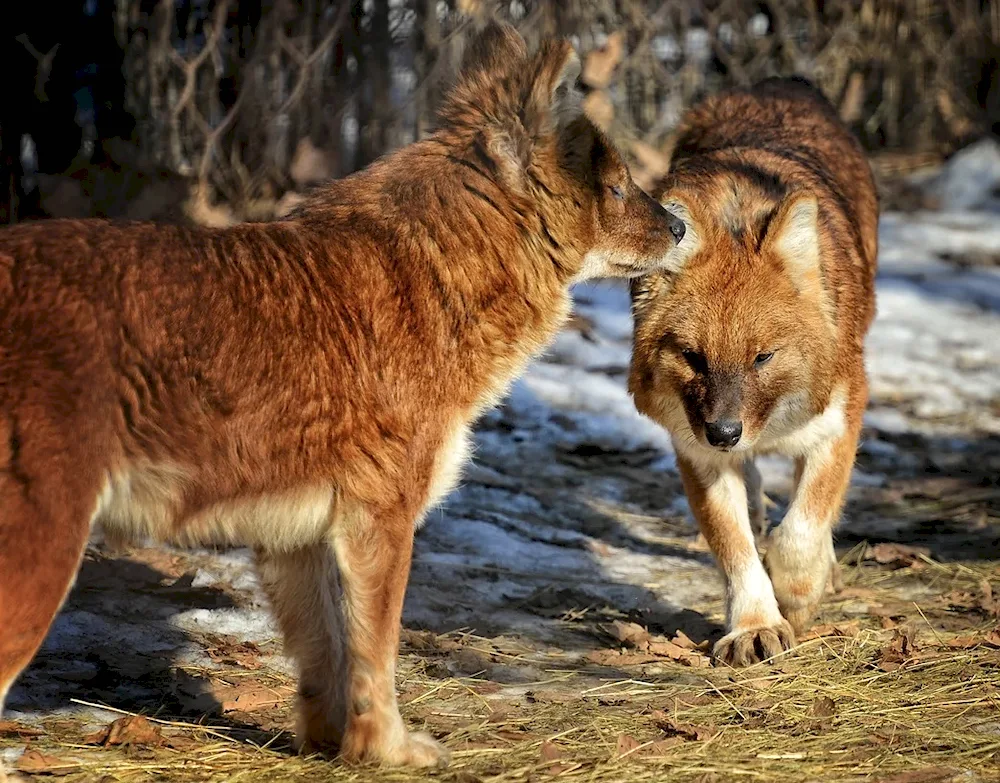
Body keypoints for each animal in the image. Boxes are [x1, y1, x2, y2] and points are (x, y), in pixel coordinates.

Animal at [0, 21, 688, 776]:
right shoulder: (380, 519)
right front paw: (389, 747)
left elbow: (325, 653)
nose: (682, 227)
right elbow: (375, 654)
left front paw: (335, 745)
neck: (441, 270)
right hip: (43, 550)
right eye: (618, 187)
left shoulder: (291, 539)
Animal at [628, 78, 880, 668]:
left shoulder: (840, 418)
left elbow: (804, 526)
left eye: (762, 357)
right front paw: (755, 625)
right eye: (693, 356)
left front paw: (798, 595)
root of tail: (780, 83)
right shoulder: (694, 449)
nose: (724, 432)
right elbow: (734, 544)